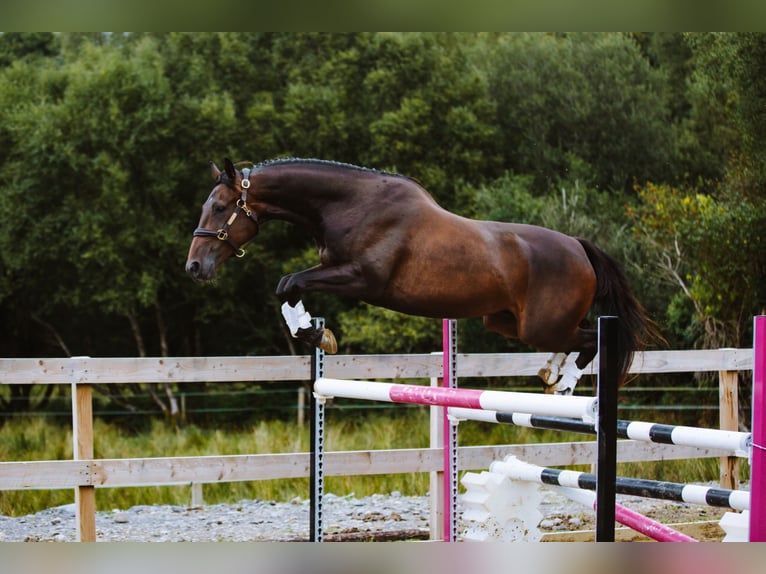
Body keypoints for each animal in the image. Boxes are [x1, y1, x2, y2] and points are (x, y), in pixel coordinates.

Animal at [185, 157, 658, 395]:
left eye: (221, 207)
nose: (194, 267)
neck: (349, 203)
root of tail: (578, 246)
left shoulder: (362, 279)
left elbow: (291, 283)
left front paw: (318, 334)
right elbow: (286, 287)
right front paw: (314, 333)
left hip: (541, 326)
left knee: (593, 338)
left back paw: (564, 384)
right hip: (506, 322)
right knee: (578, 337)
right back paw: (551, 372)